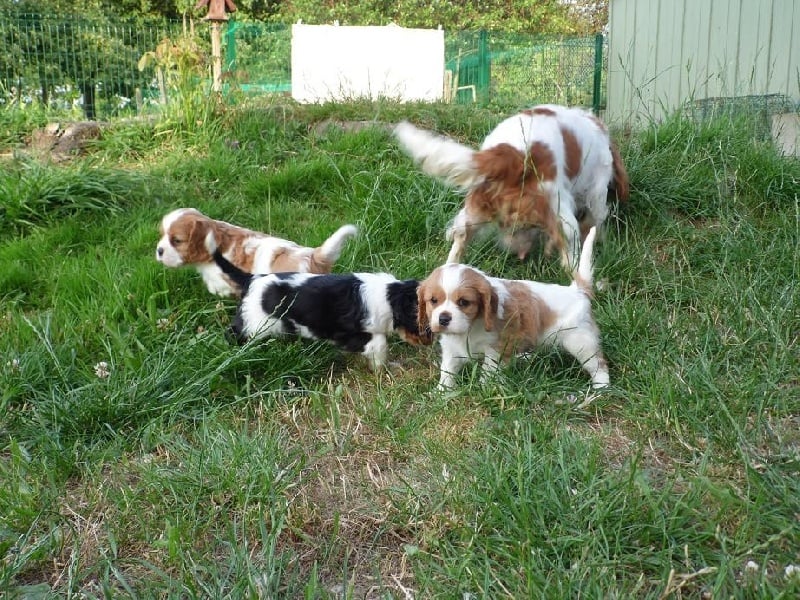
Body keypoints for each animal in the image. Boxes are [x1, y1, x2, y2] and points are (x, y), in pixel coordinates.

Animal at [206, 232, 432, 368]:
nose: (428, 344)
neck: (389, 294)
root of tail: (251, 279)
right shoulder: (348, 334)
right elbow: (379, 343)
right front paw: (382, 368)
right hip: (255, 322)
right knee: (233, 333)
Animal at [396, 105, 628, 270]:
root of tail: (509, 154)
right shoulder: (597, 191)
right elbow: (596, 221)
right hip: (560, 210)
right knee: (570, 249)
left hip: (478, 206)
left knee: (460, 237)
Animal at [416, 227, 608, 392]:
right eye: (433, 301)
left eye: (463, 302)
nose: (443, 318)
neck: (470, 327)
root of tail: (578, 290)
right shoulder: (451, 348)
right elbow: (447, 370)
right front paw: (442, 392)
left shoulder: (496, 349)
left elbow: (489, 372)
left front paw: (485, 389)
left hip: (580, 342)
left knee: (599, 365)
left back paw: (601, 389)